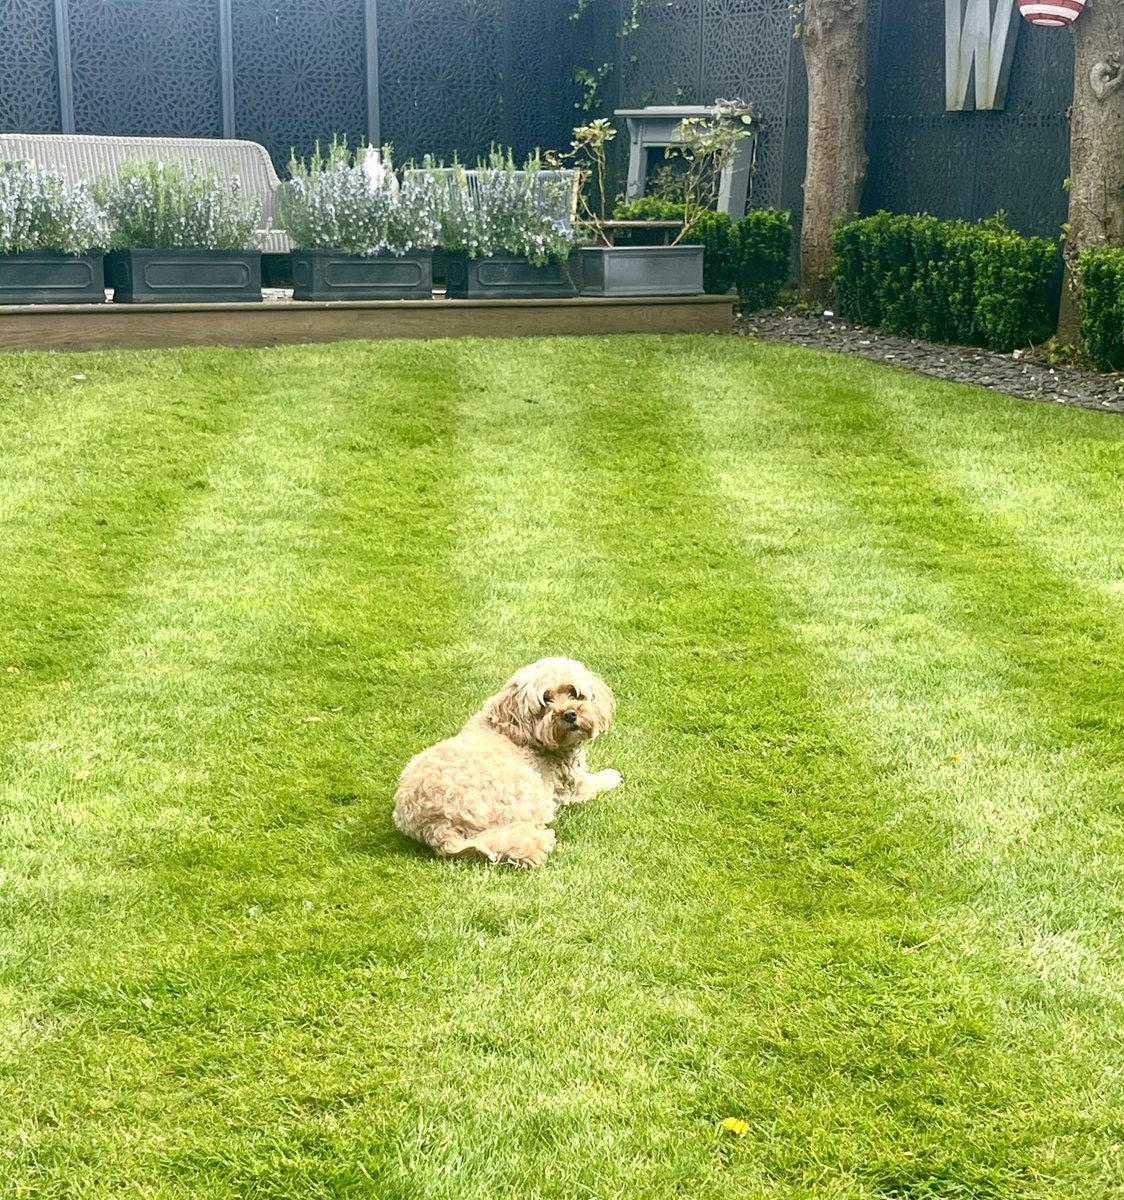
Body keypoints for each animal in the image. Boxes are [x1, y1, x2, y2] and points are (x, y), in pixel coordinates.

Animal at [393, 657, 623, 864]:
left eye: (574, 693)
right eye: (545, 700)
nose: (569, 714)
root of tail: (435, 824)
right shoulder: (571, 786)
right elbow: (594, 783)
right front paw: (611, 776)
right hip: (528, 794)